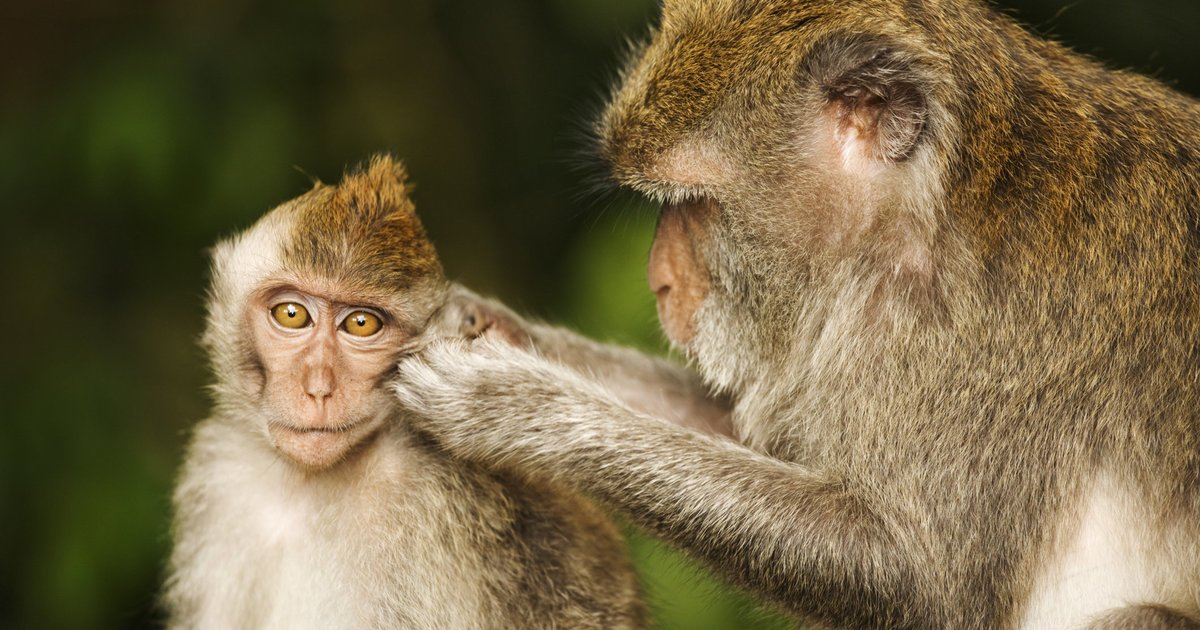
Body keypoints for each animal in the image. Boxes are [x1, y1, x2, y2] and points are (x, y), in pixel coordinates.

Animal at [163, 155, 649, 629]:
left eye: (361, 323)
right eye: (292, 314)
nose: (318, 389)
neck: (305, 485)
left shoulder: (431, 503)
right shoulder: (220, 469)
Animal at [389, 0, 1200, 628]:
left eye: (696, 205)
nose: (660, 283)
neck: (922, 215)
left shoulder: (983, 343)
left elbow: (921, 580)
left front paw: (514, 404)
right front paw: (478, 322)